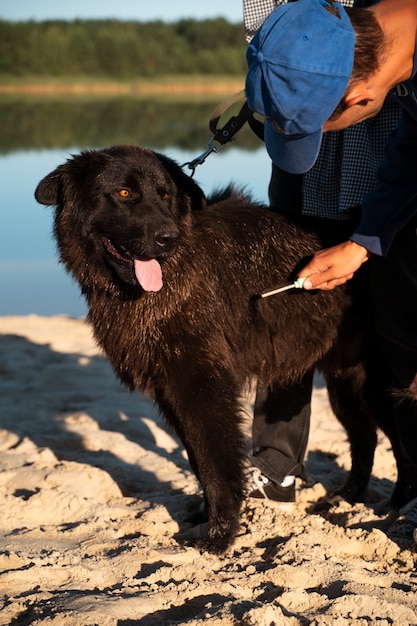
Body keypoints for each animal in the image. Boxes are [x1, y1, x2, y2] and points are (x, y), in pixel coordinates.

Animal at [35, 145, 396, 552]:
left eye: (165, 196)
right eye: (125, 194)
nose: (168, 238)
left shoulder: (203, 387)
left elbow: (217, 465)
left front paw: (220, 534)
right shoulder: (171, 389)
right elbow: (198, 461)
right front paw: (204, 517)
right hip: (345, 384)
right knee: (366, 439)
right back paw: (348, 498)